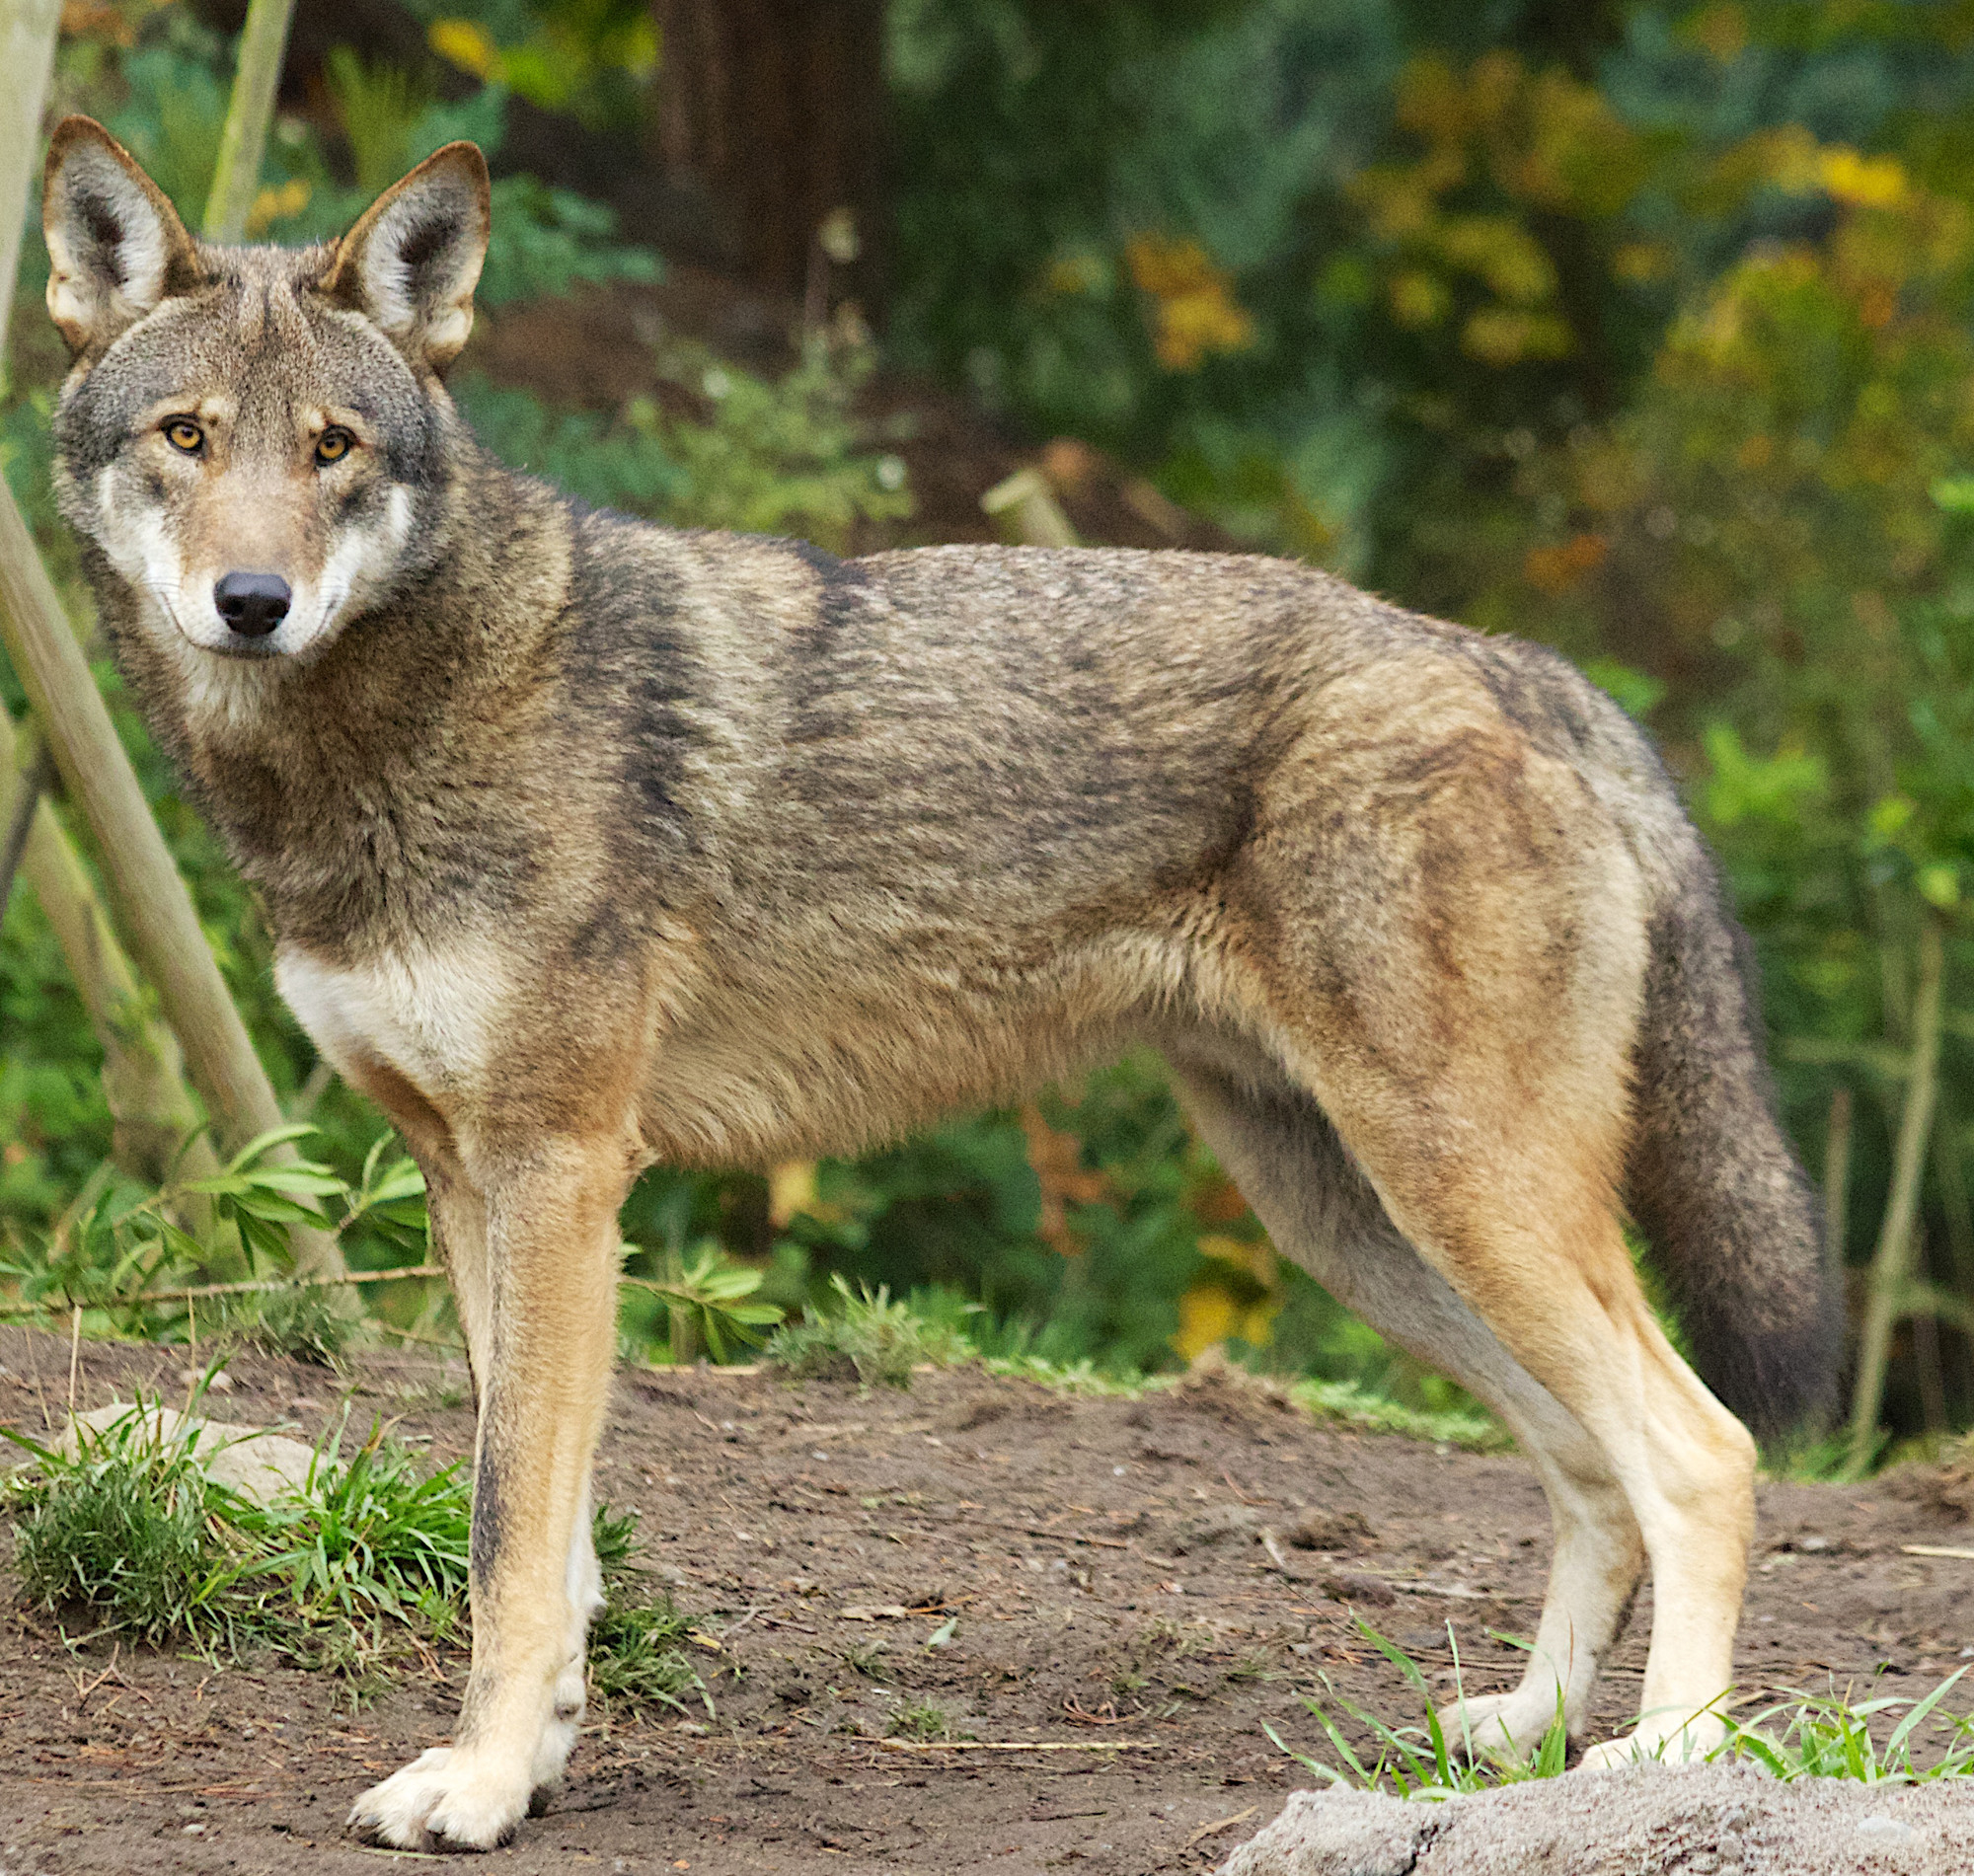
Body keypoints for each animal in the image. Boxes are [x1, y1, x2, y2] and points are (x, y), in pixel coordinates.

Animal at [40, 116, 1836, 1850]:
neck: (398, 725)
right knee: (1590, 1469)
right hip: (1360, 1221)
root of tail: (1517, 665)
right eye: (187, 438)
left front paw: (476, 1789)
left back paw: (1671, 1756)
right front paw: (532, 1759)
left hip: (1457, 1195)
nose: (252, 604)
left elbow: (506, 1533)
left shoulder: (559, 1174)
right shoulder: (469, 1180)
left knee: (1703, 1452)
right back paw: (1527, 1740)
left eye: (331, 449)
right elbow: (552, 1540)